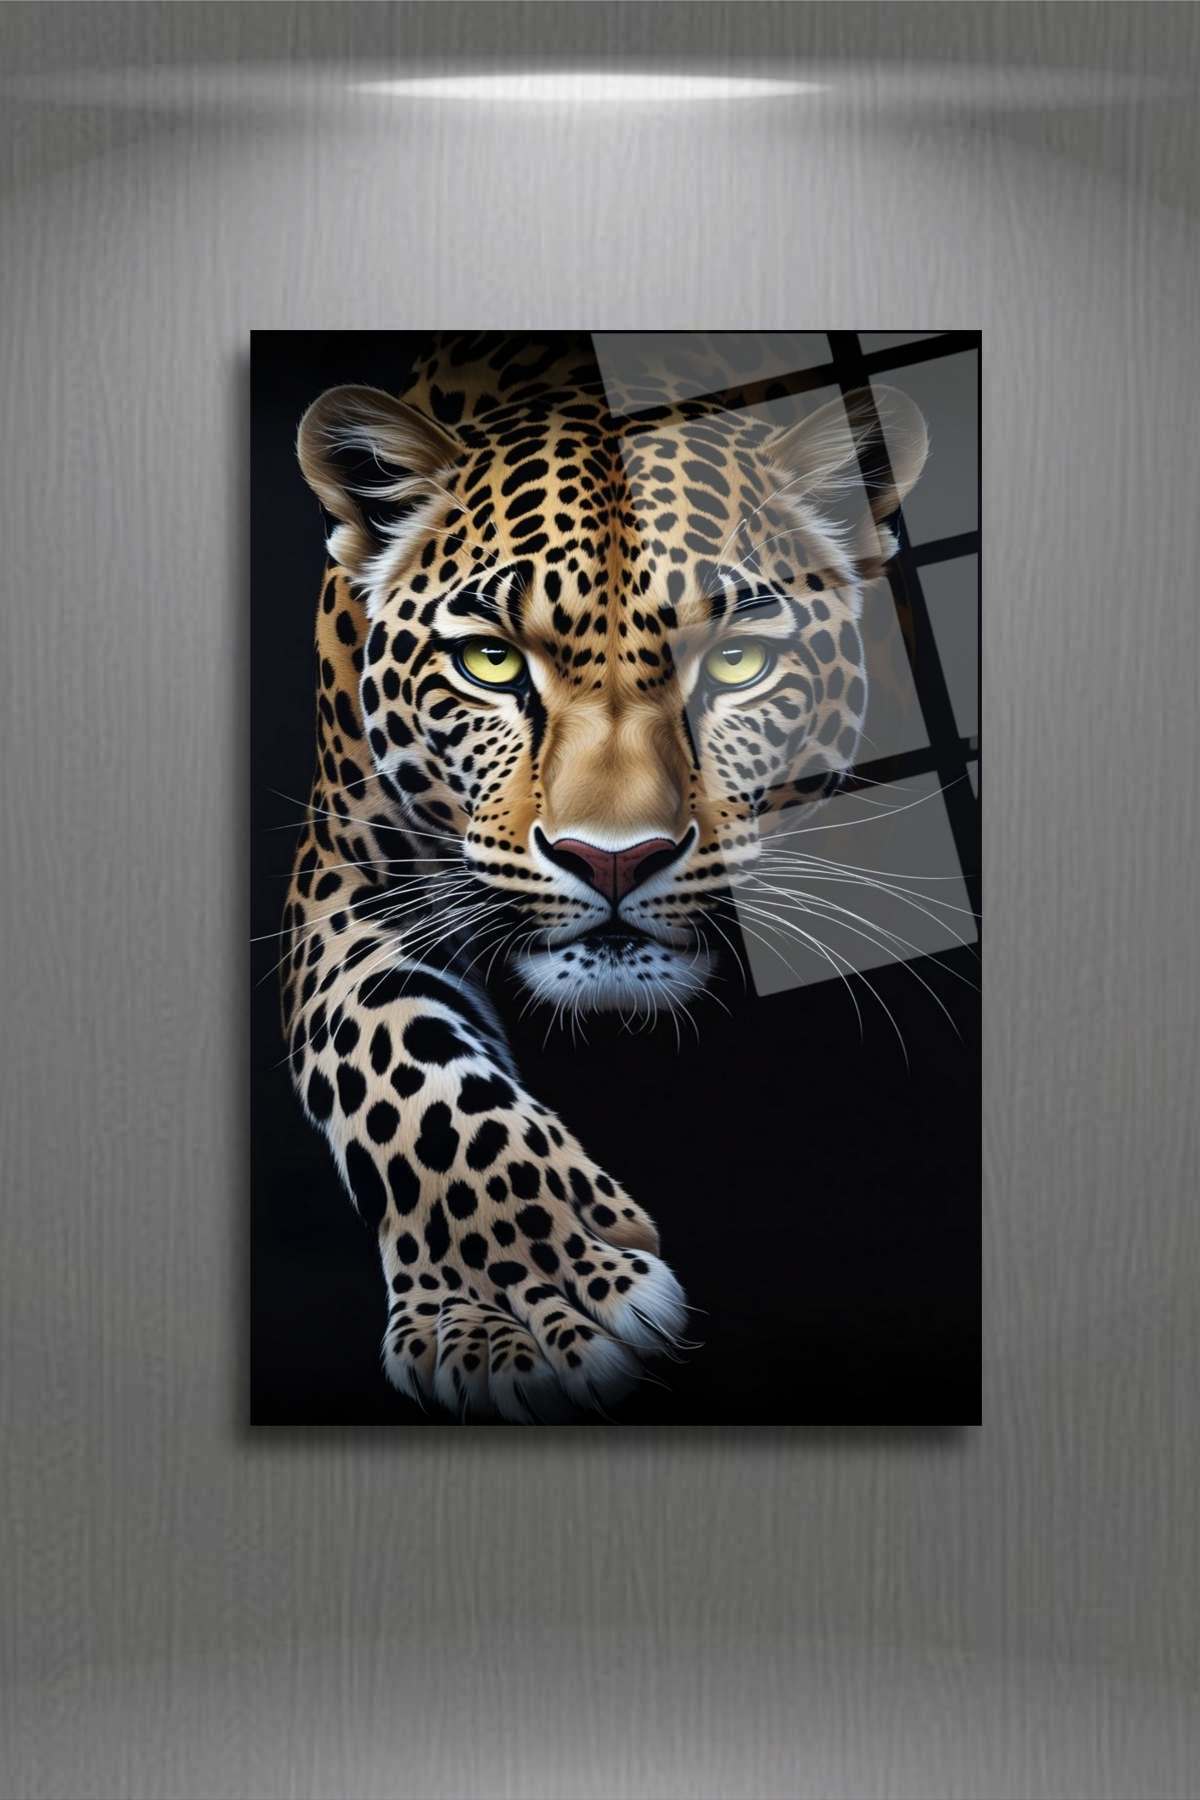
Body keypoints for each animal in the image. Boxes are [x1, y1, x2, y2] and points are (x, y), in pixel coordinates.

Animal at [277, 333, 927, 1422]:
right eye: (491, 663)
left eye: (737, 662)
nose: (611, 858)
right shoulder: (345, 878)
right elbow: (402, 1069)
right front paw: (519, 1303)